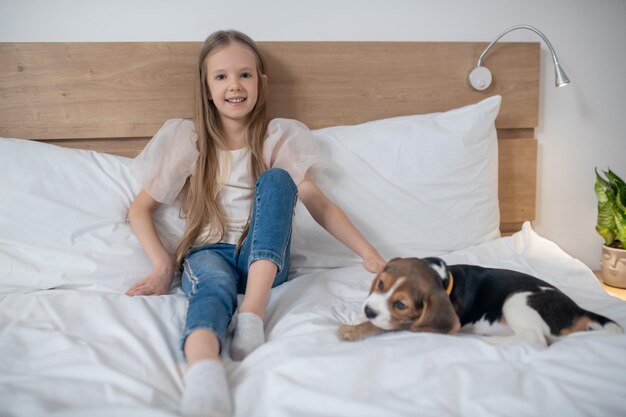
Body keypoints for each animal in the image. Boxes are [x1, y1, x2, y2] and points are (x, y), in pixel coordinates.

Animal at [336, 255, 620, 346]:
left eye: (400, 305)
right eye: (380, 284)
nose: (369, 309)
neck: (442, 278)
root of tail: (576, 308)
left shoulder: (412, 322)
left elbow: (381, 326)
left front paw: (353, 330)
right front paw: (358, 317)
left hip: (517, 300)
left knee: (536, 340)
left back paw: (491, 341)